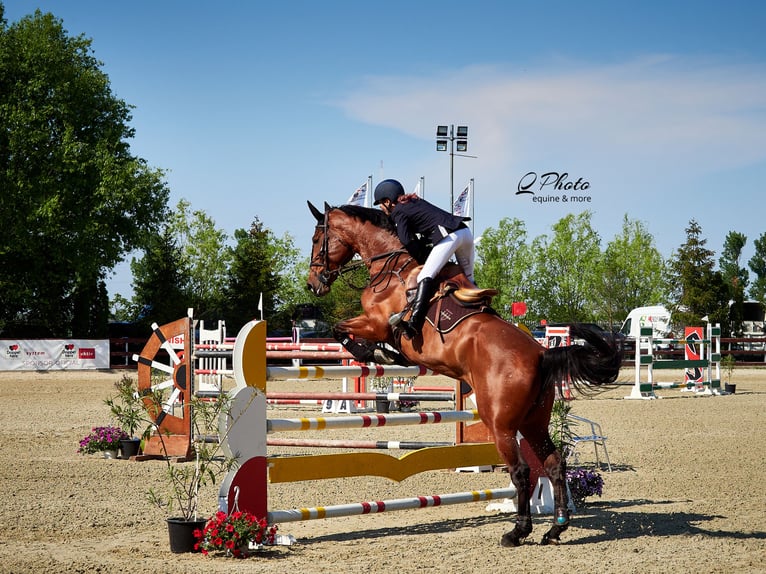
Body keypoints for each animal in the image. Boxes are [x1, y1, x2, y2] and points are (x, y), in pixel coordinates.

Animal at [306, 202, 624, 548]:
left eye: (317, 239)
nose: (313, 284)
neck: (390, 267)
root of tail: (541, 354)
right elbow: (342, 329)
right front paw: (382, 353)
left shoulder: (376, 323)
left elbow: (340, 329)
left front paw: (375, 353)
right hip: (534, 421)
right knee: (552, 463)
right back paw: (555, 528)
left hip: (500, 424)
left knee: (521, 471)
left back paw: (517, 531)